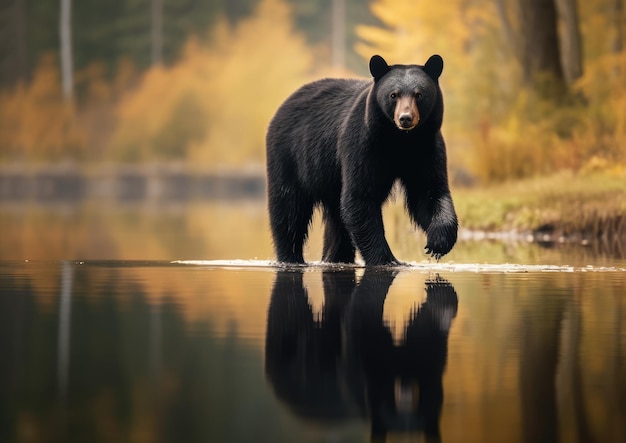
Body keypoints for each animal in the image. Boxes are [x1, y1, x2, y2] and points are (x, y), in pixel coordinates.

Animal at [266, 53, 456, 266]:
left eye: (419, 94)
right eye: (393, 95)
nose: (405, 118)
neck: (399, 140)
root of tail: (285, 103)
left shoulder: (426, 147)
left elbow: (428, 191)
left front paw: (438, 242)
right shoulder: (362, 145)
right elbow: (360, 196)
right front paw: (386, 259)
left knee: (336, 217)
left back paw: (336, 257)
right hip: (290, 155)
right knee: (289, 209)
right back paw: (291, 258)